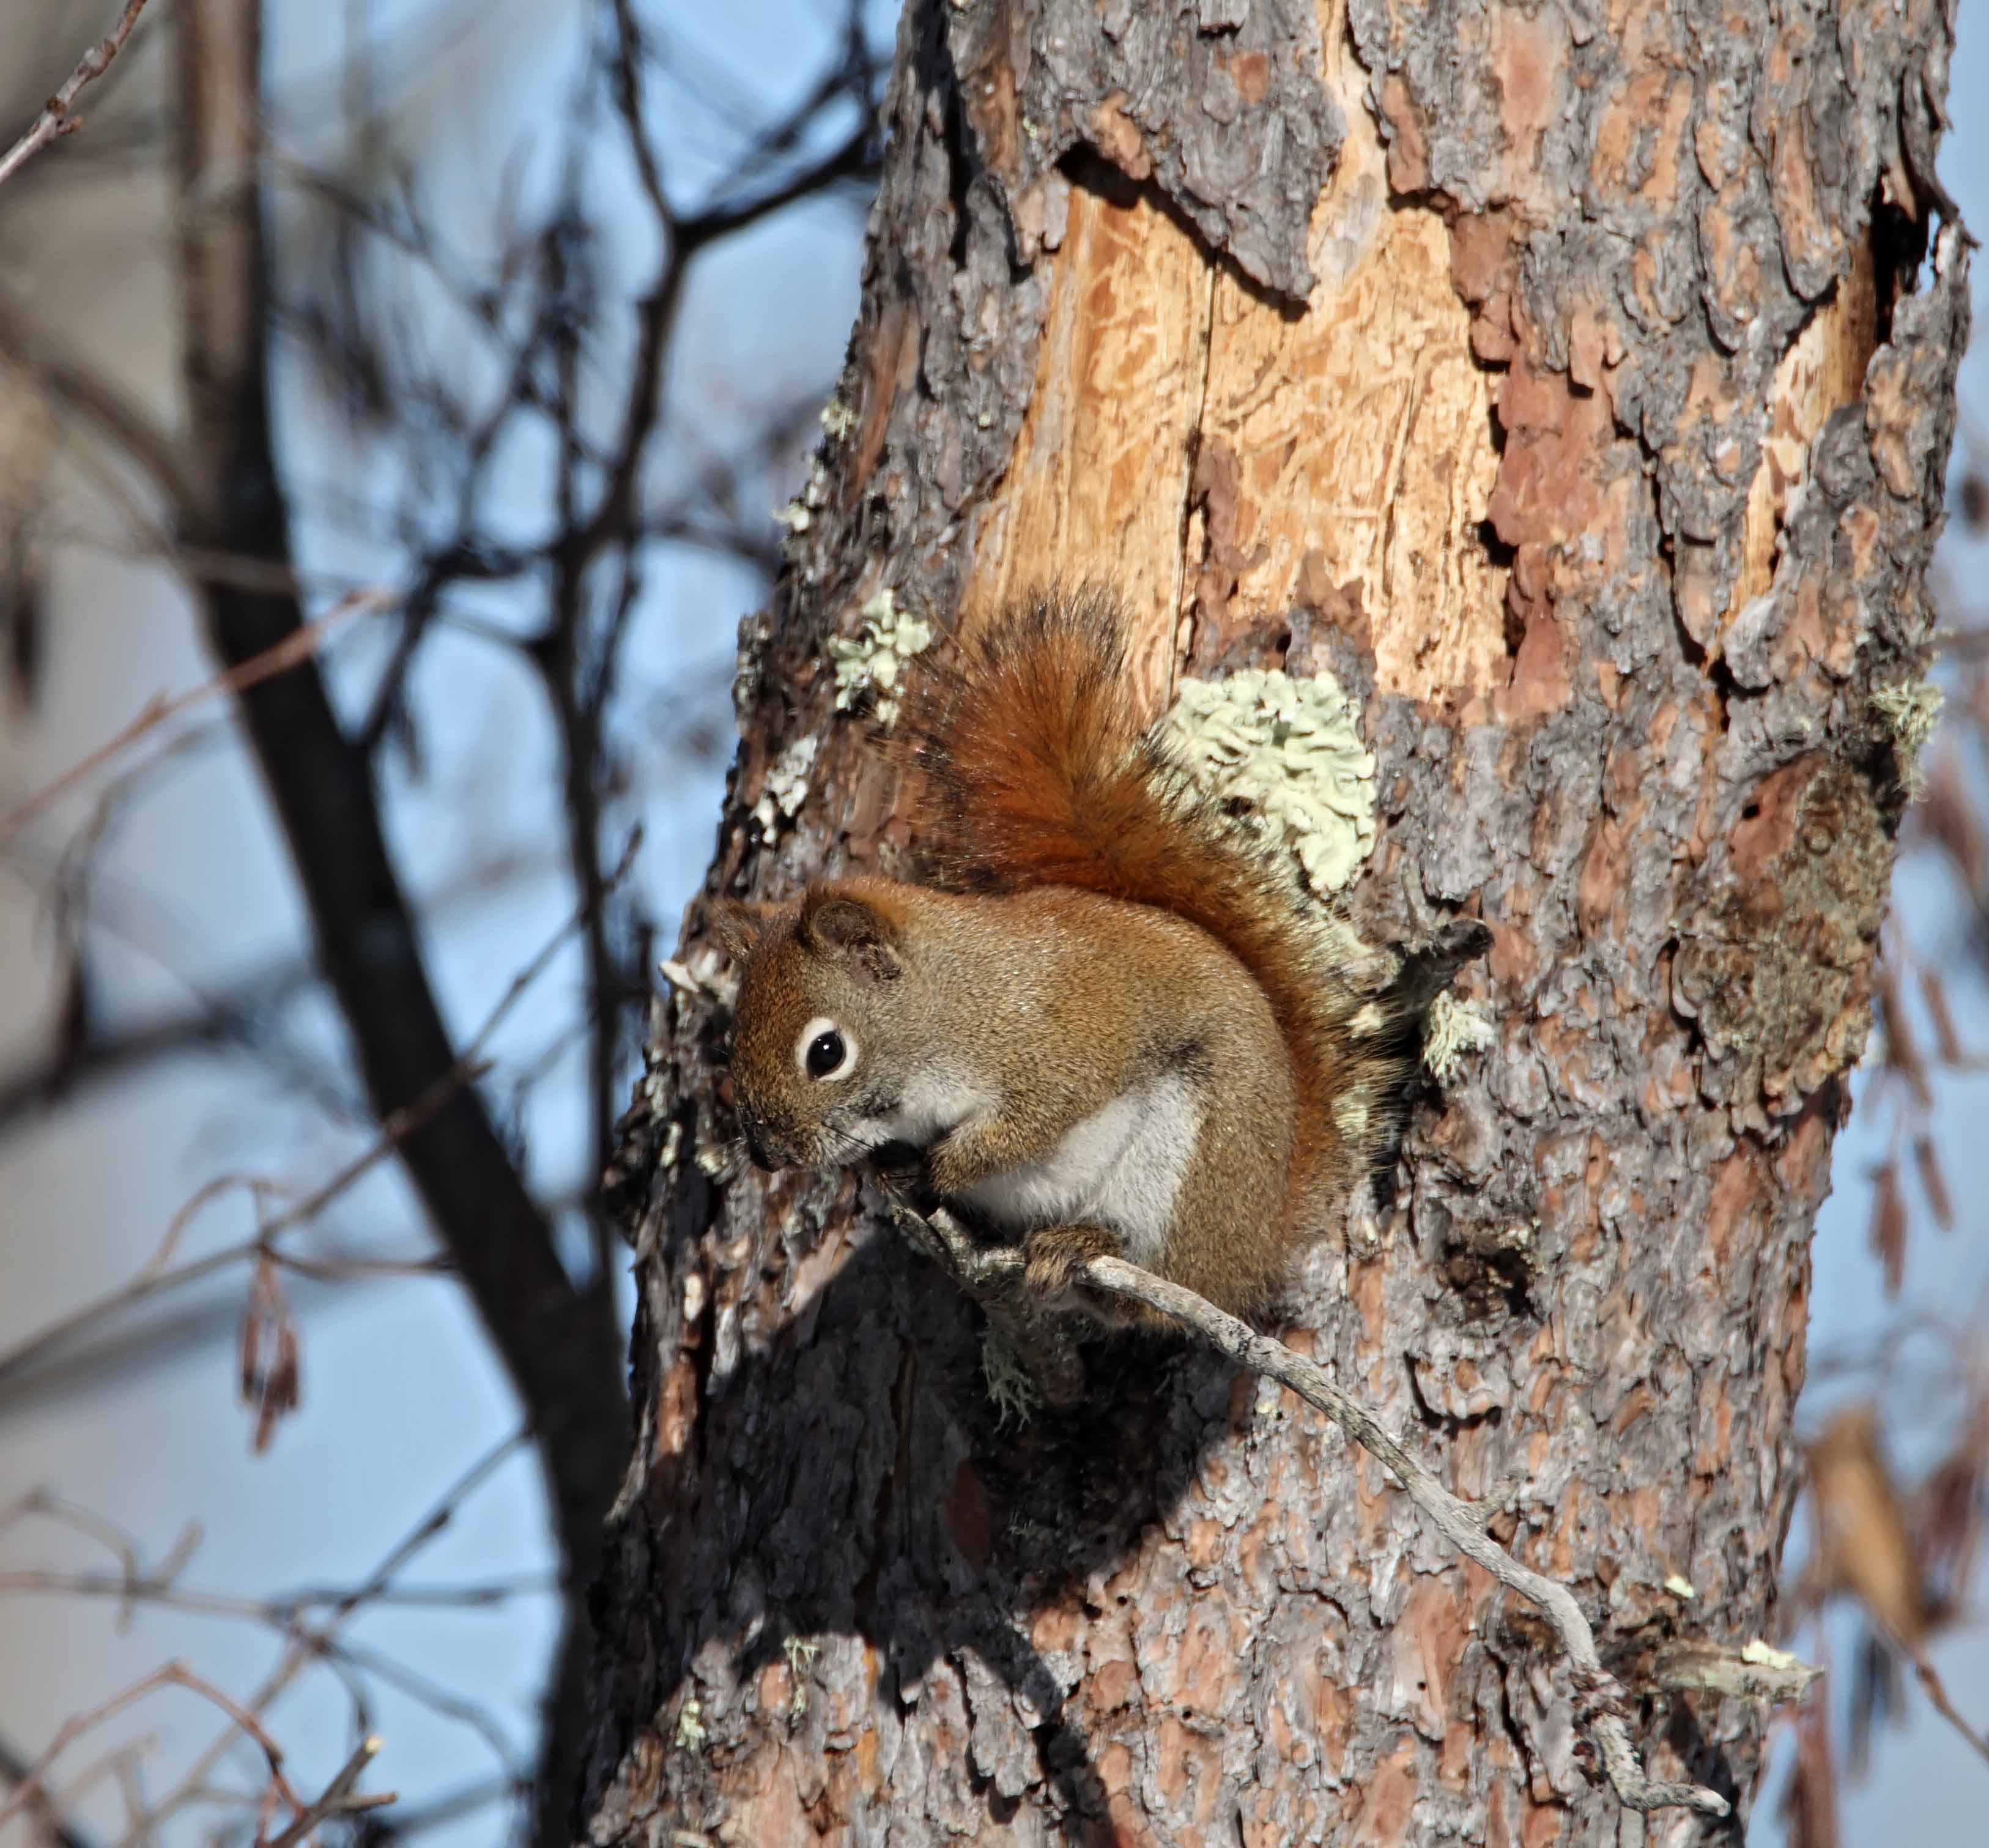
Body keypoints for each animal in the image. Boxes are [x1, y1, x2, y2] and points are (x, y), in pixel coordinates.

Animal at [708, 585, 1487, 1321]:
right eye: (732, 1042)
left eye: (827, 1053)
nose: (768, 1153)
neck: (949, 1004)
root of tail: (1253, 1251)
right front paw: (899, 1170)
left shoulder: (1056, 1044)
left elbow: (1033, 1121)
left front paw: (943, 1166)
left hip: (1184, 1165)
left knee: (1146, 1289)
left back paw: (1085, 1245)